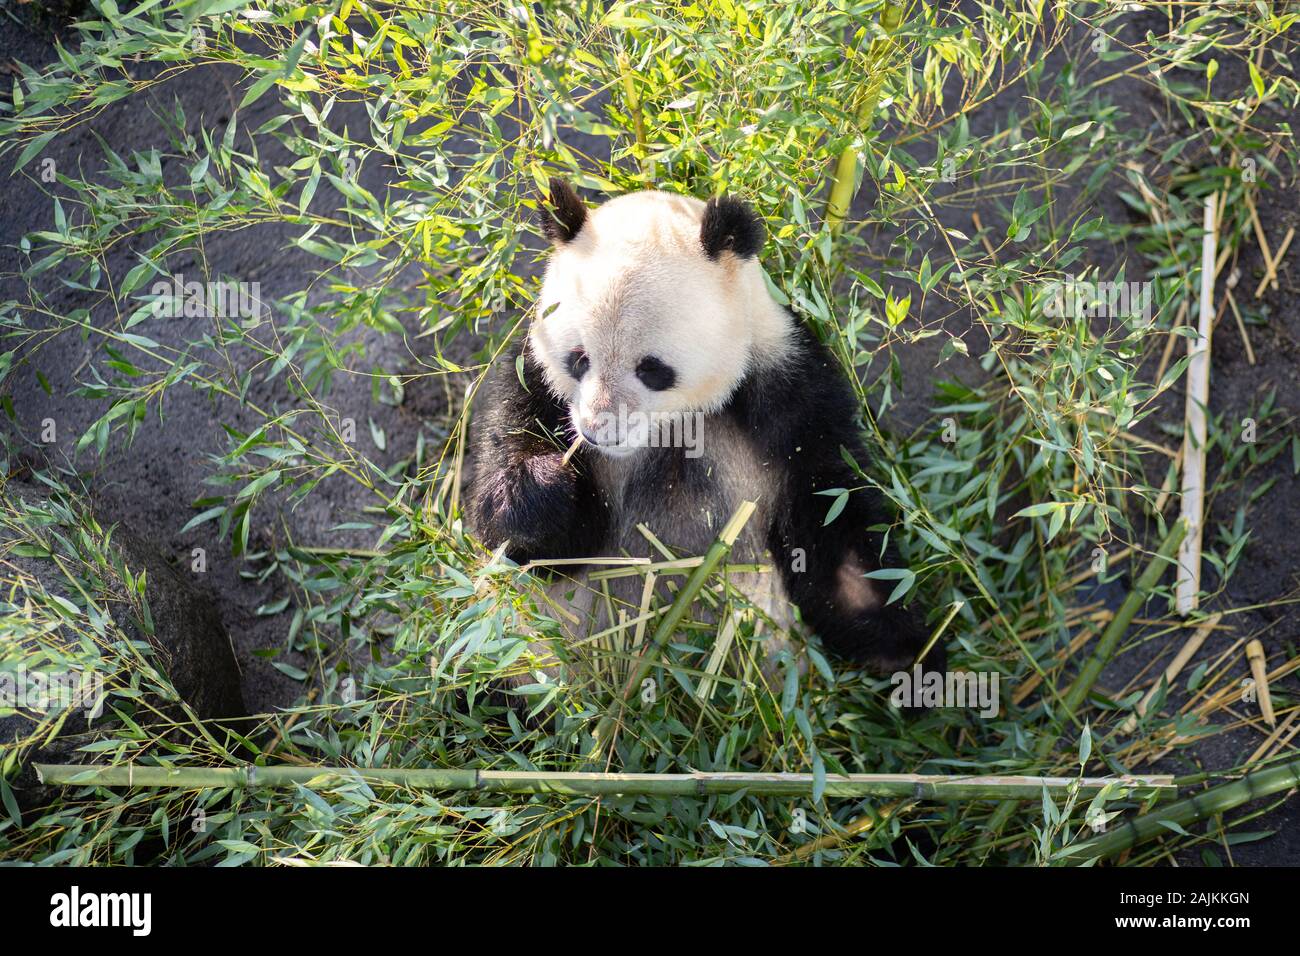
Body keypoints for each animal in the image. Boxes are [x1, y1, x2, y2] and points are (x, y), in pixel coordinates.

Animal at [468, 179, 943, 681]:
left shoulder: (787, 389)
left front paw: (908, 652)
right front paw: (541, 486)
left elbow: (829, 514)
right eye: (579, 360)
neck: (676, 425)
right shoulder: (531, 381)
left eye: (652, 369)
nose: (599, 432)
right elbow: (529, 542)